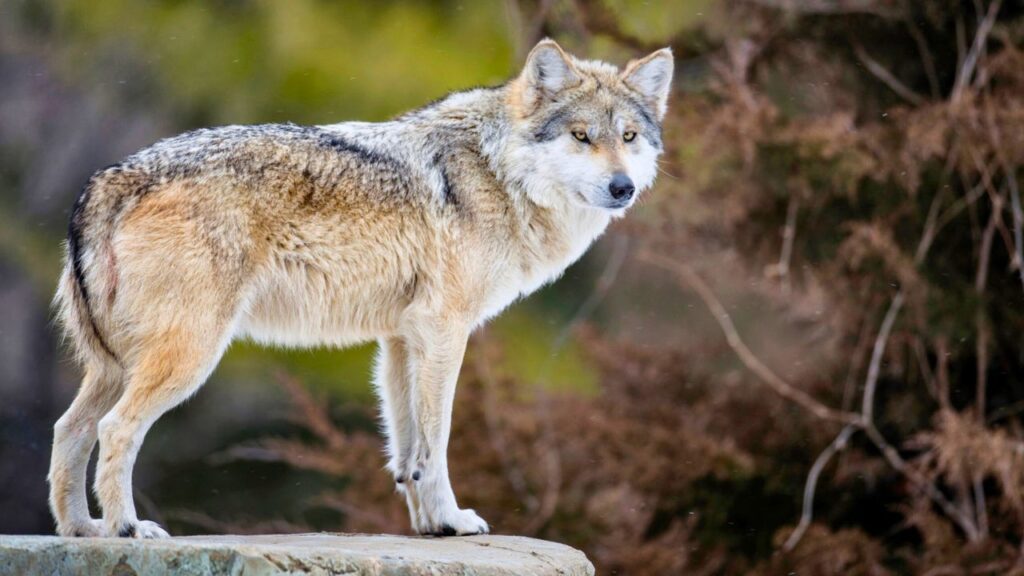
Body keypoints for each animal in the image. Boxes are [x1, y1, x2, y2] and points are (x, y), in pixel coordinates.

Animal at [48, 39, 673, 538]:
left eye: (628, 137)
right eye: (581, 136)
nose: (622, 187)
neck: (498, 172)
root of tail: (110, 177)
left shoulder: (401, 339)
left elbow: (407, 450)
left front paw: (430, 526)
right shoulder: (444, 331)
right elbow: (437, 441)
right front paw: (454, 519)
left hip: (115, 366)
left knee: (69, 430)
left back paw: (83, 530)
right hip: (188, 357)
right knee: (114, 429)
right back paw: (127, 529)